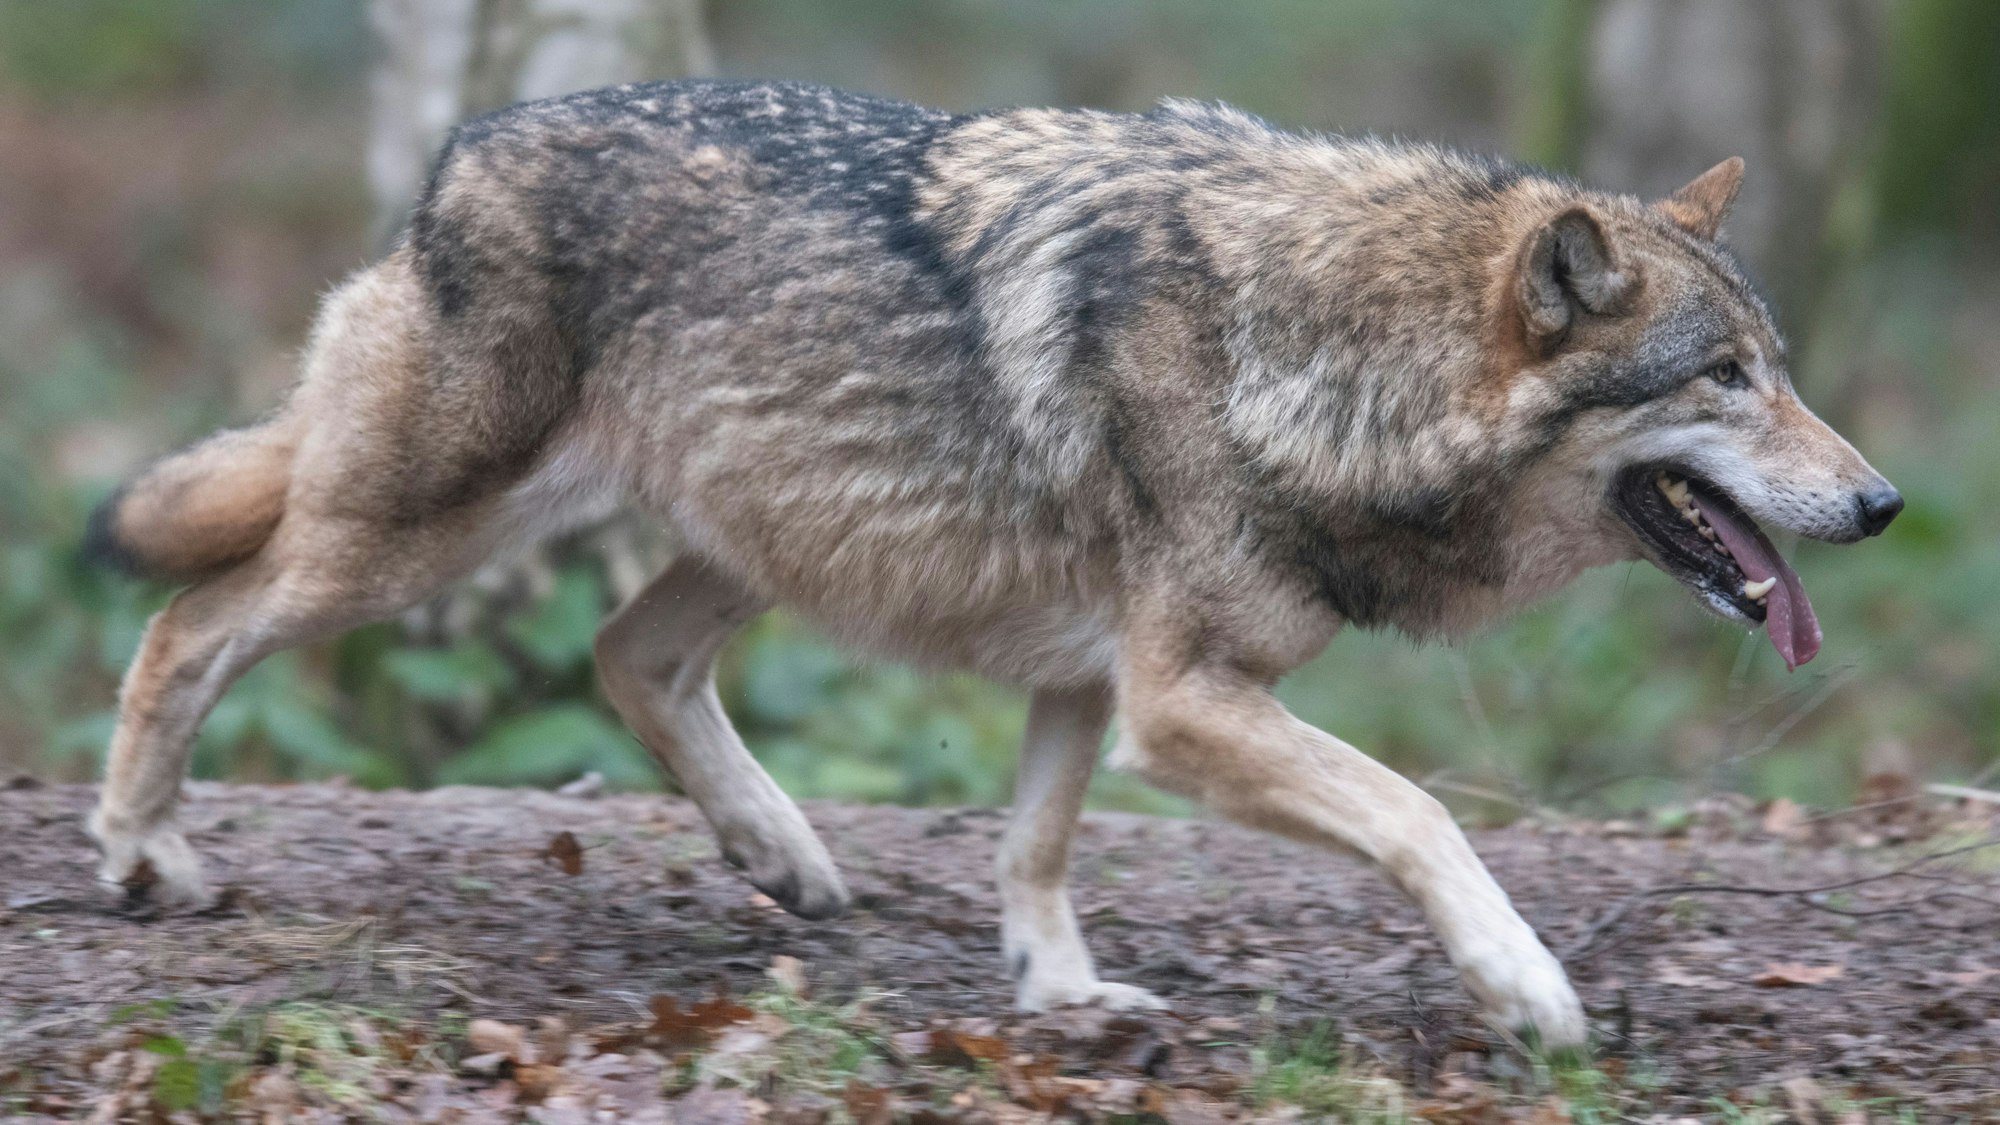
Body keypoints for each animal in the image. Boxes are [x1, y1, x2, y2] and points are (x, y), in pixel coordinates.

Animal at [84, 80, 1900, 1045]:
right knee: (187, 622)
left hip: (761, 541)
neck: (1321, 355)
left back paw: (784, 853)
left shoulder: (1093, 674)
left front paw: (1063, 994)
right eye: (1723, 378)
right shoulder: (1181, 699)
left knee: (629, 655)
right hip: (407, 545)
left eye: (1783, 368)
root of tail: (461, 149)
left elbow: (1035, 843)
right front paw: (1527, 987)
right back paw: (142, 857)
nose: (1883, 504)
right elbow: (1422, 815)